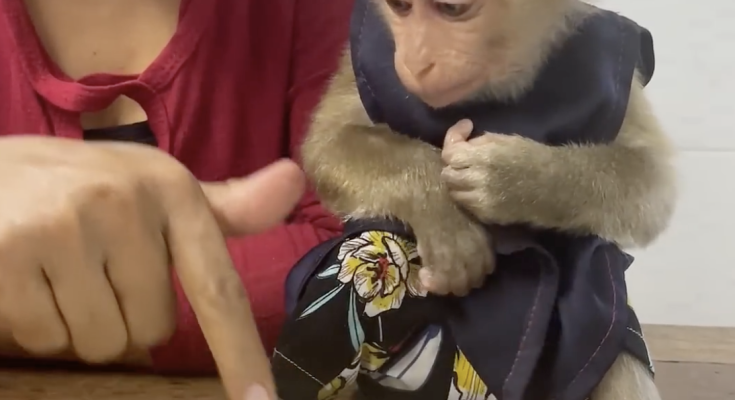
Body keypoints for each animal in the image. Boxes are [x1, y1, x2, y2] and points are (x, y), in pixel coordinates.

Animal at [277, 0, 676, 399]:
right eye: (401, 6)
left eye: (452, 9)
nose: (414, 63)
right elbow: (326, 145)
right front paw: (444, 215)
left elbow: (652, 185)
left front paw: (509, 177)